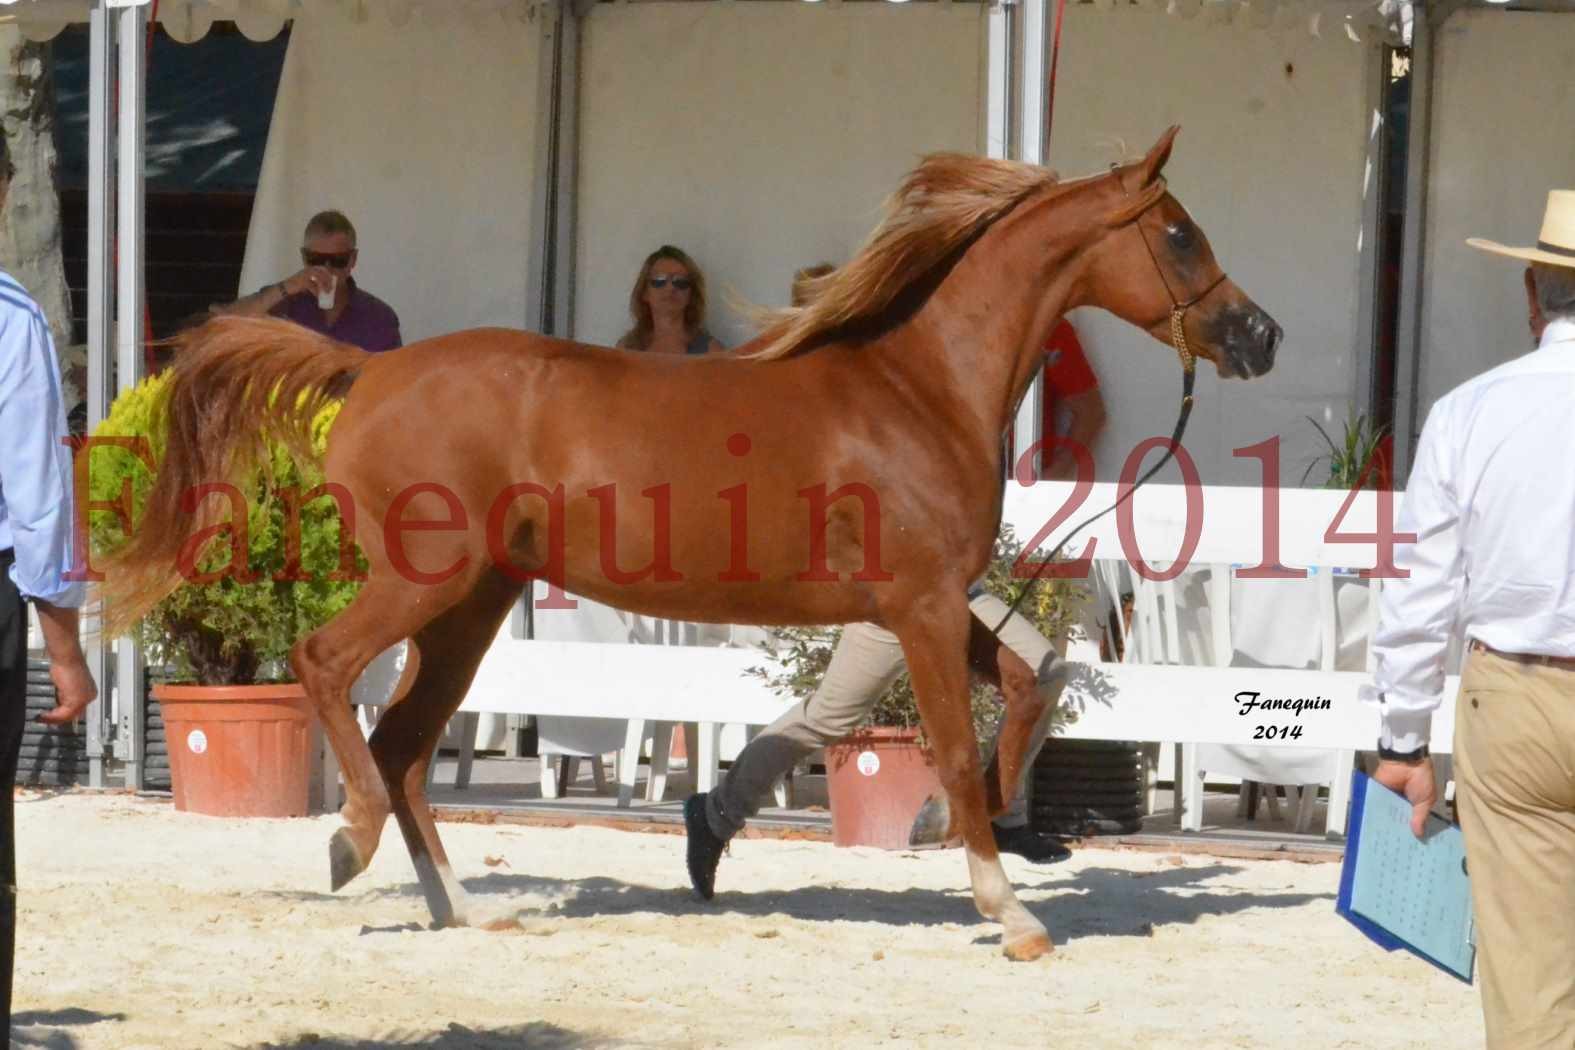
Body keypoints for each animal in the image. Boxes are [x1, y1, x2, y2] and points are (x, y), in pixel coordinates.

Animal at [101, 127, 1278, 963]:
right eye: (1179, 232)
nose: (1257, 334)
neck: (919, 386)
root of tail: (370, 369)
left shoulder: (930, 603)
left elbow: (1037, 685)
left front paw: (957, 822)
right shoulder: (922, 606)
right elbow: (952, 737)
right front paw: (1009, 909)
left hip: (471, 607)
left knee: (403, 743)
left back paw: (465, 912)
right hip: (422, 582)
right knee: (327, 669)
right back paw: (349, 841)